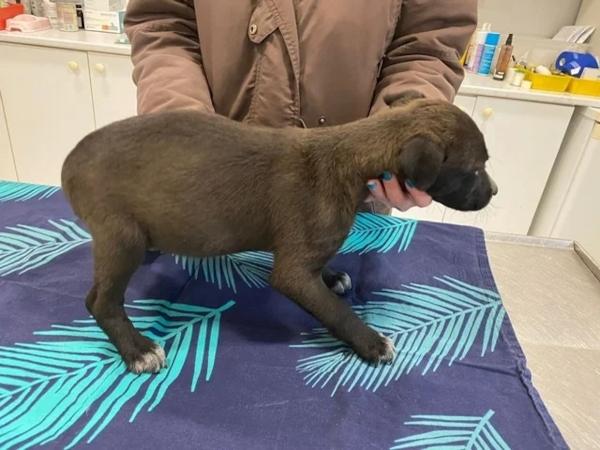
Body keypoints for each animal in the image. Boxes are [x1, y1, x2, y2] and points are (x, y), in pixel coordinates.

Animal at [61, 97, 497, 374]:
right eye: (475, 169)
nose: (494, 192)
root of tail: (70, 161)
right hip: (122, 236)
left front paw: (333, 276)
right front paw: (371, 343)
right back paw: (138, 350)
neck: (348, 158)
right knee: (100, 301)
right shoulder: (293, 274)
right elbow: (335, 311)